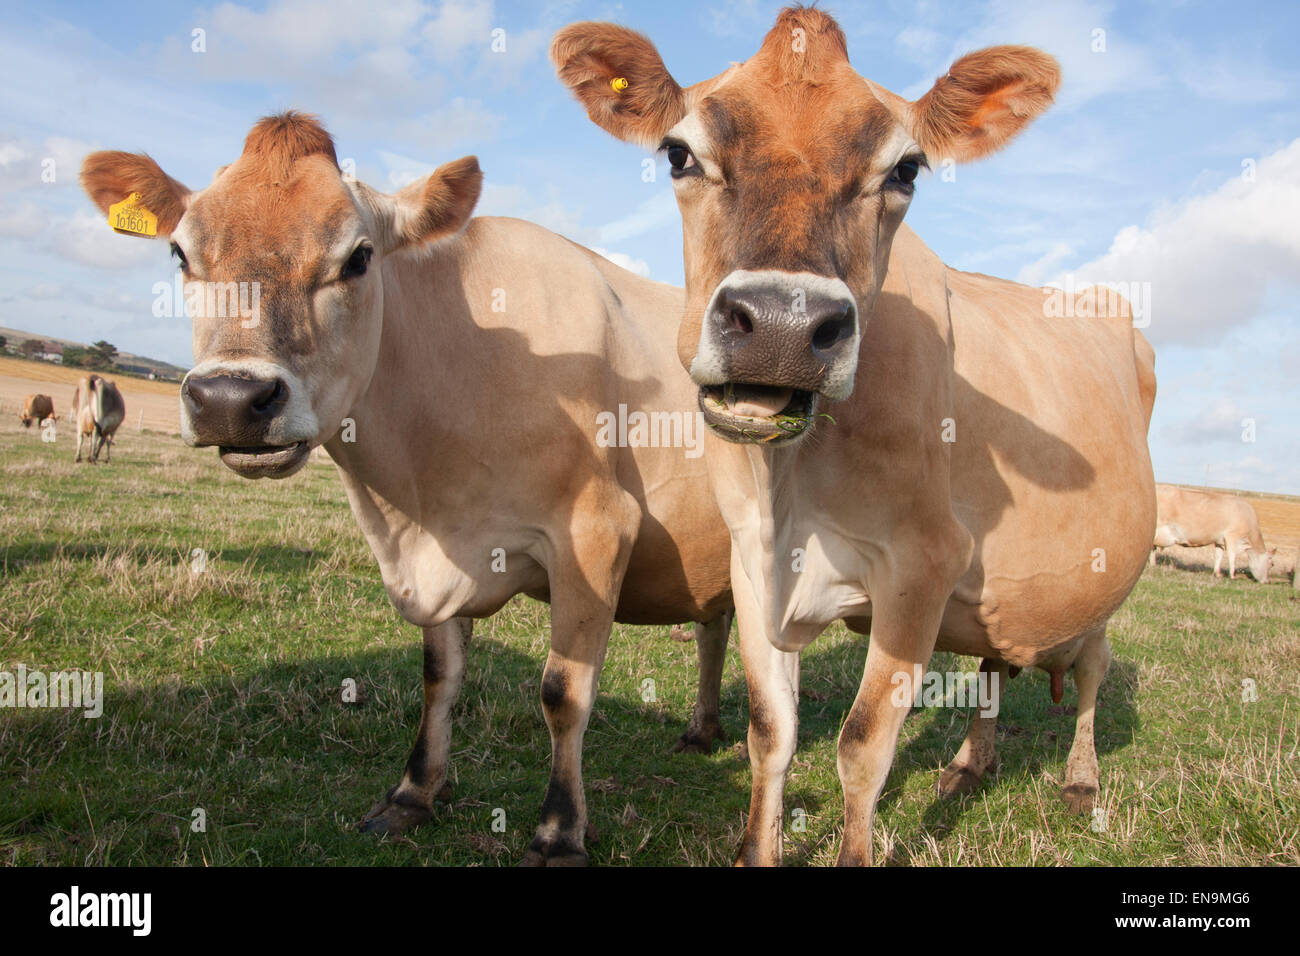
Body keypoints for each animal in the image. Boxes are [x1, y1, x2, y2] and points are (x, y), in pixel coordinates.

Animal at [78, 111, 733, 868]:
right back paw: (703, 731)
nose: (229, 399)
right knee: (716, 625)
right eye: (181, 254)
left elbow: (563, 693)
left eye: (359, 258)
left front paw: (559, 831)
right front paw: (414, 794)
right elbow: (439, 677)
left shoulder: (597, 531)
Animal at [551, 3, 1159, 863]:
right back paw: (971, 765)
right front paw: (758, 847)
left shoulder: (921, 566)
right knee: (995, 664)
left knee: (1094, 671)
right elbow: (771, 732)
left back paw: (1079, 781)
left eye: (906, 170)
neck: (792, 485)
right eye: (679, 153)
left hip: (1113, 573)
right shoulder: (750, 559)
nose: (781, 325)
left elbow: (864, 746)